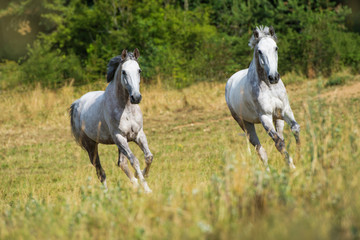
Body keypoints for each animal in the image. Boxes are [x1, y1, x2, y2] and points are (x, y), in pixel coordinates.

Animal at [69, 49, 153, 193]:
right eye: (124, 72)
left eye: (139, 70)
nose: (136, 97)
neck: (126, 108)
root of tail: (76, 103)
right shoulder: (119, 137)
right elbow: (134, 161)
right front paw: (147, 189)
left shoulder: (138, 135)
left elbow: (148, 157)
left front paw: (141, 176)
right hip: (91, 145)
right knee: (100, 171)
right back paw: (107, 194)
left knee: (122, 163)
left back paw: (135, 184)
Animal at [225, 25, 300, 169]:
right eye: (259, 51)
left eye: (276, 48)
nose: (274, 77)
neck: (270, 88)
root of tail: (230, 81)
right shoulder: (265, 117)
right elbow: (279, 143)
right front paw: (293, 168)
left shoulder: (285, 111)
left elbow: (295, 129)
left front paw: (302, 156)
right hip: (245, 124)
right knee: (260, 150)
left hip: (278, 119)